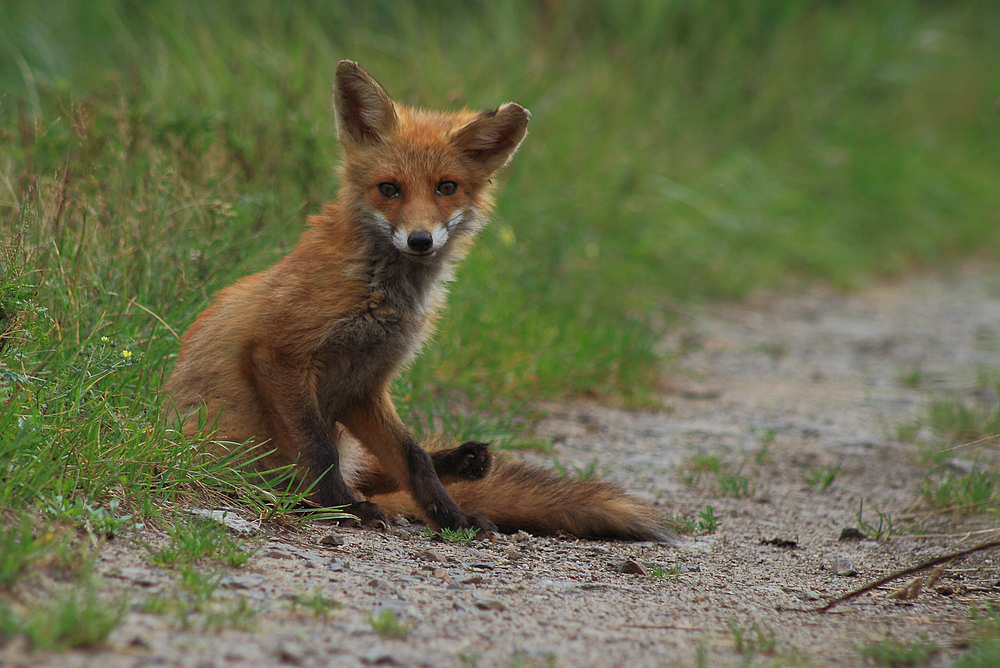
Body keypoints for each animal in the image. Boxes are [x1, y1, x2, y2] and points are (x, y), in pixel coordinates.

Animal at [166, 61, 672, 544]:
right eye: (389, 189)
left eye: (446, 187)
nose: (420, 240)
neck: (381, 296)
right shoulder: (279, 352)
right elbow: (318, 449)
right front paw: (343, 509)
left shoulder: (363, 385)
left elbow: (411, 458)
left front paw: (451, 516)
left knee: (388, 470)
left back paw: (464, 462)